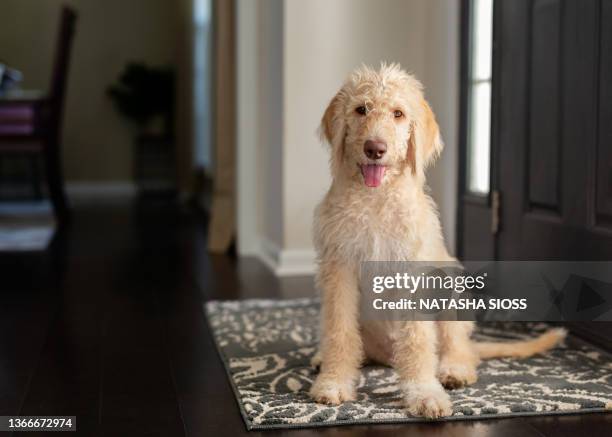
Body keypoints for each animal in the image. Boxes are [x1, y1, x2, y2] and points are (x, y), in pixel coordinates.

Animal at [308, 63, 568, 416]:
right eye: (361, 109)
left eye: (398, 113)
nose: (375, 149)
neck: (375, 200)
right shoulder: (340, 270)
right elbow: (339, 330)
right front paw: (334, 382)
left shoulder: (412, 272)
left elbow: (418, 340)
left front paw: (424, 393)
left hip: (451, 288)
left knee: (457, 346)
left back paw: (454, 369)